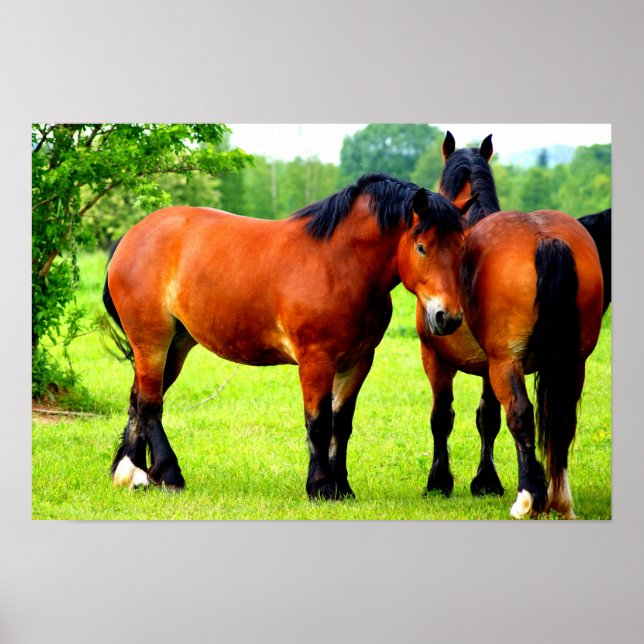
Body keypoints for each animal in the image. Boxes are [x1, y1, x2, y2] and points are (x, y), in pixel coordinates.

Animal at [103, 173, 469, 500]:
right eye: (421, 247)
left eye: (461, 248)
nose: (447, 317)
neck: (339, 264)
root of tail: (131, 237)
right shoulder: (316, 361)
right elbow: (319, 423)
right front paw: (321, 487)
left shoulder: (358, 361)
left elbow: (342, 425)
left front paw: (343, 487)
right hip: (152, 341)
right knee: (150, 405)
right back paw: (166, 475)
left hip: (176, 346)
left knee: (138, 399)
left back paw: (131, 473)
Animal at [413, 131, 604, 518]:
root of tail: (545, 237)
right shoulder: (488, 366)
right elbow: (487, 418)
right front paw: (486, 482)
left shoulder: (437, 359)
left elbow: (442, 416)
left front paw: (439, 482)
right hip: (572, 362)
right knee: (562, 419)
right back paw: (560, 498)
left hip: (508, 363)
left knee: (521, 414)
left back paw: (529, 498)